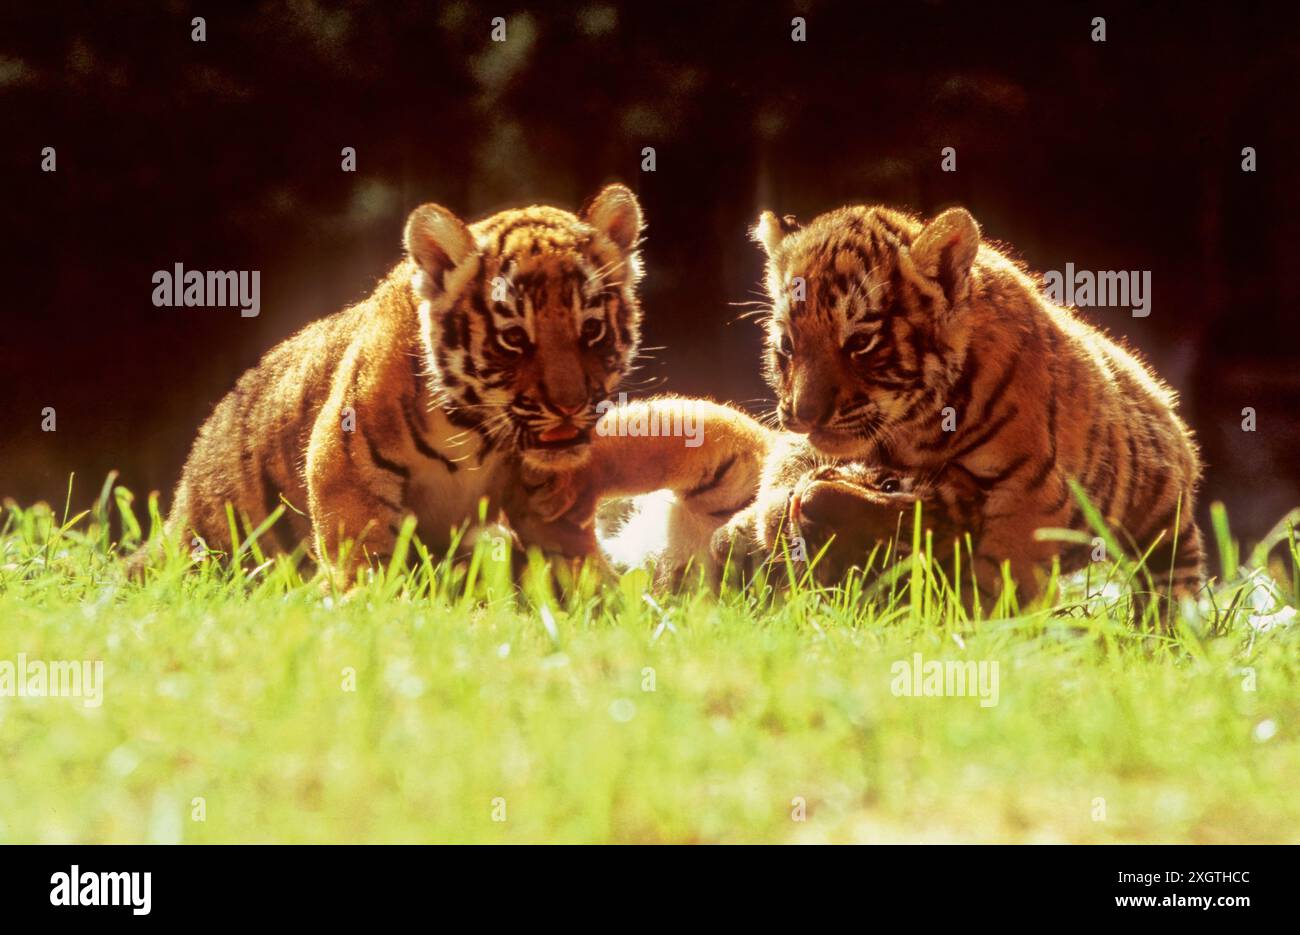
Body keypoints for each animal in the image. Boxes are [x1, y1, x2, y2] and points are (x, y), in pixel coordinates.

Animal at [144, 184, 645, 584]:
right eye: (514, 338)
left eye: (592, 329)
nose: (569, 406)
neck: (476, 434)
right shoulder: (346, 473)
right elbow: (365, 566)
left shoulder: (547, 505)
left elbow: (578, 568)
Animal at [748, 203, 1205, 599]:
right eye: (787, 345)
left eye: (860, 342)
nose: (803, 416)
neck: (912, 425)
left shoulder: (1031, 490)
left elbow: (998, 578)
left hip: (1164, 524)